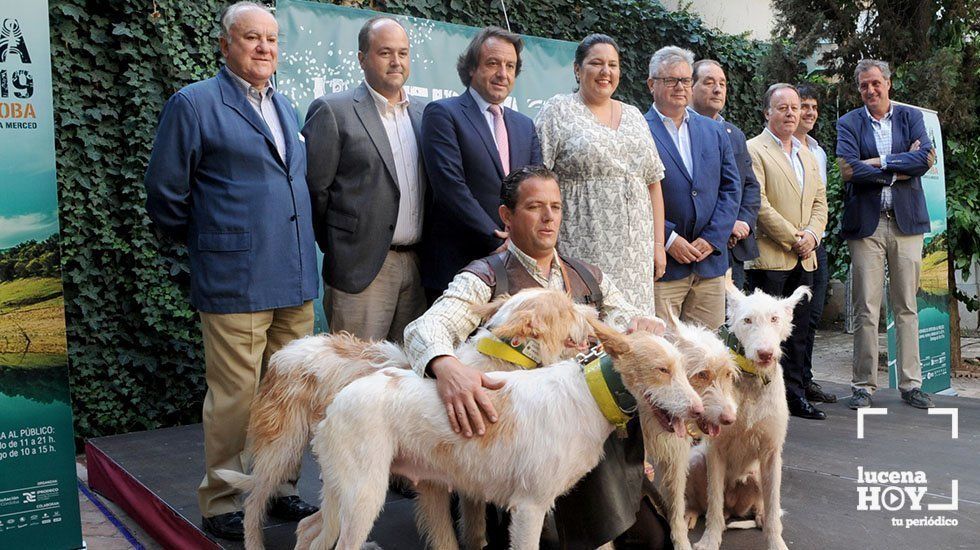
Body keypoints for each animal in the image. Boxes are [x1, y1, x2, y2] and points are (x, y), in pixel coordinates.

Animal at [233, 288, 596, 550]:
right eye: (567, 307)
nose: (595, 313)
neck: (494, 364)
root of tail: (287, 350)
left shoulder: (473, 482)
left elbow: (475, 531)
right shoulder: (434, 484)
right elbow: (445, 538)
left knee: (309, 527)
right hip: (284, 452)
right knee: (253, 504)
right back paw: (253, 541)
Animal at [288, 320, 700, 550]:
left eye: (683, 369)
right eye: (662, 370)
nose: (698, 411)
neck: (588, 394)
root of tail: (335, 402)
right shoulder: (529, 507)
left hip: (342, 493)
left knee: (308, 531)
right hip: (364, 497)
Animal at [684, 284, 808, 550]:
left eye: (775, 319)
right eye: (747, 320)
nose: (765, 354)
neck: (752, 380)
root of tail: (733, 509)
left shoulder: (771, 453)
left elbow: (773, 508)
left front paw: (776, 542)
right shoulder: (716, 450)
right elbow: (713, 505)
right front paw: (709, 540)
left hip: (759, 473)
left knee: (763, 507)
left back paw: (759, 515)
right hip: (696, 460)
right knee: (707, 505)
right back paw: (690, 512)